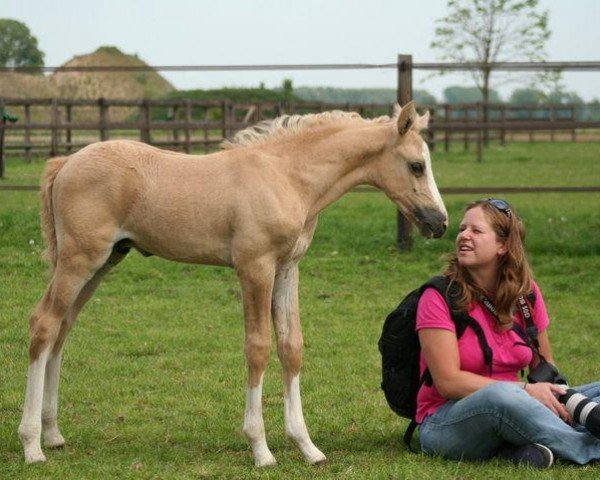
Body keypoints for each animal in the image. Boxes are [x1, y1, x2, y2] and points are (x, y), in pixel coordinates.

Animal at [17, 100, 446, 464]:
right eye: (416, 166)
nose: (439, 222)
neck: (286, 176)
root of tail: (66, 161)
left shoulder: (287, 269)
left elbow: (291, 347)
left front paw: (307, 447)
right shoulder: (255, 267)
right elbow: (257, 348)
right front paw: (261, 449)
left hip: (105, 260)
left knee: (62, 329)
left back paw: (53, 434)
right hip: (79, 259)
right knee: (44, 324)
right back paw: (32, 445)